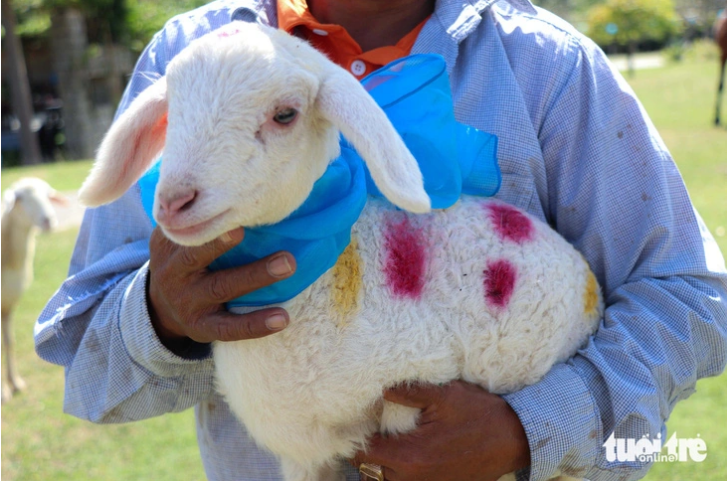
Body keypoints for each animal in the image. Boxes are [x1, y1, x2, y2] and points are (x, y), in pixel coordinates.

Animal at [1, 176, 65, 402]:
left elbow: (9, 342)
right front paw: (3, 391)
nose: (48, 220)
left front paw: (15, 382)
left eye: (48, 195)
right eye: (19, 198)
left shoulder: (9, 303)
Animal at [78, 21, 604, 480]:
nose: (173, 200)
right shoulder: (302, 449)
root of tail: (590, 284)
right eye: (171, 111)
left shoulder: (420, 388)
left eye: (285, 115)